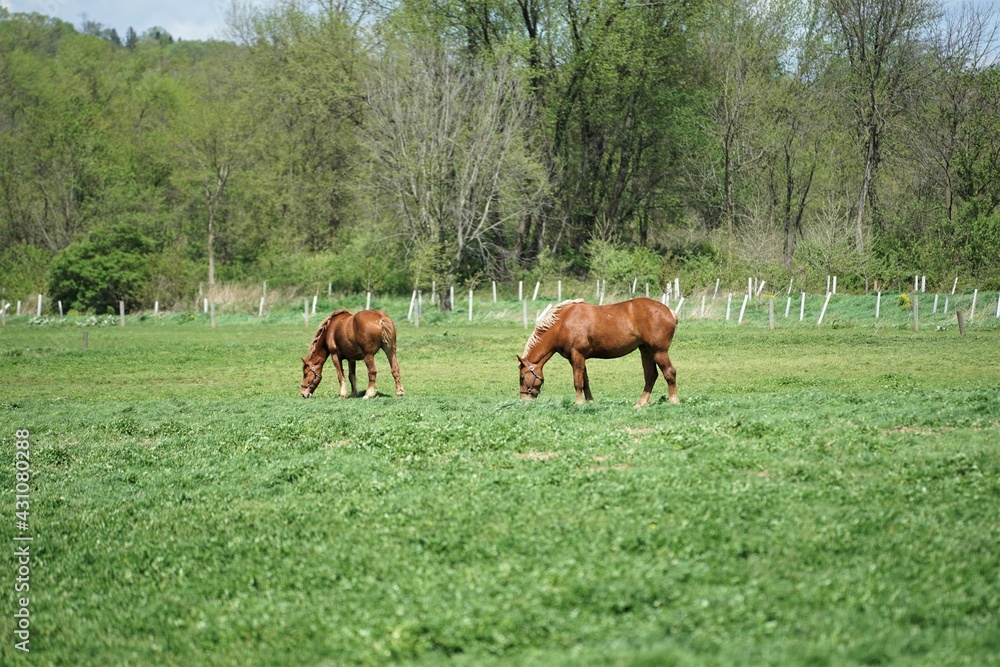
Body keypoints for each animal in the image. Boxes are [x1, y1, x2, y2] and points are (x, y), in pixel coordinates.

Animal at [520, 298, 676, 408]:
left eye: (522, 377)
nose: (523, 400)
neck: (562, 324)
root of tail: (671, 312)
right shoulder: (578, 358)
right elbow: (585, 381)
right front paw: (589, 402)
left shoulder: (577, 355)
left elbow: (578, 382)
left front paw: (579, 403)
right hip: (646, 350)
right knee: (651, 375)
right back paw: (641, 403)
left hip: (659, 351)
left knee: (669, 372)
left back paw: (674, 400)